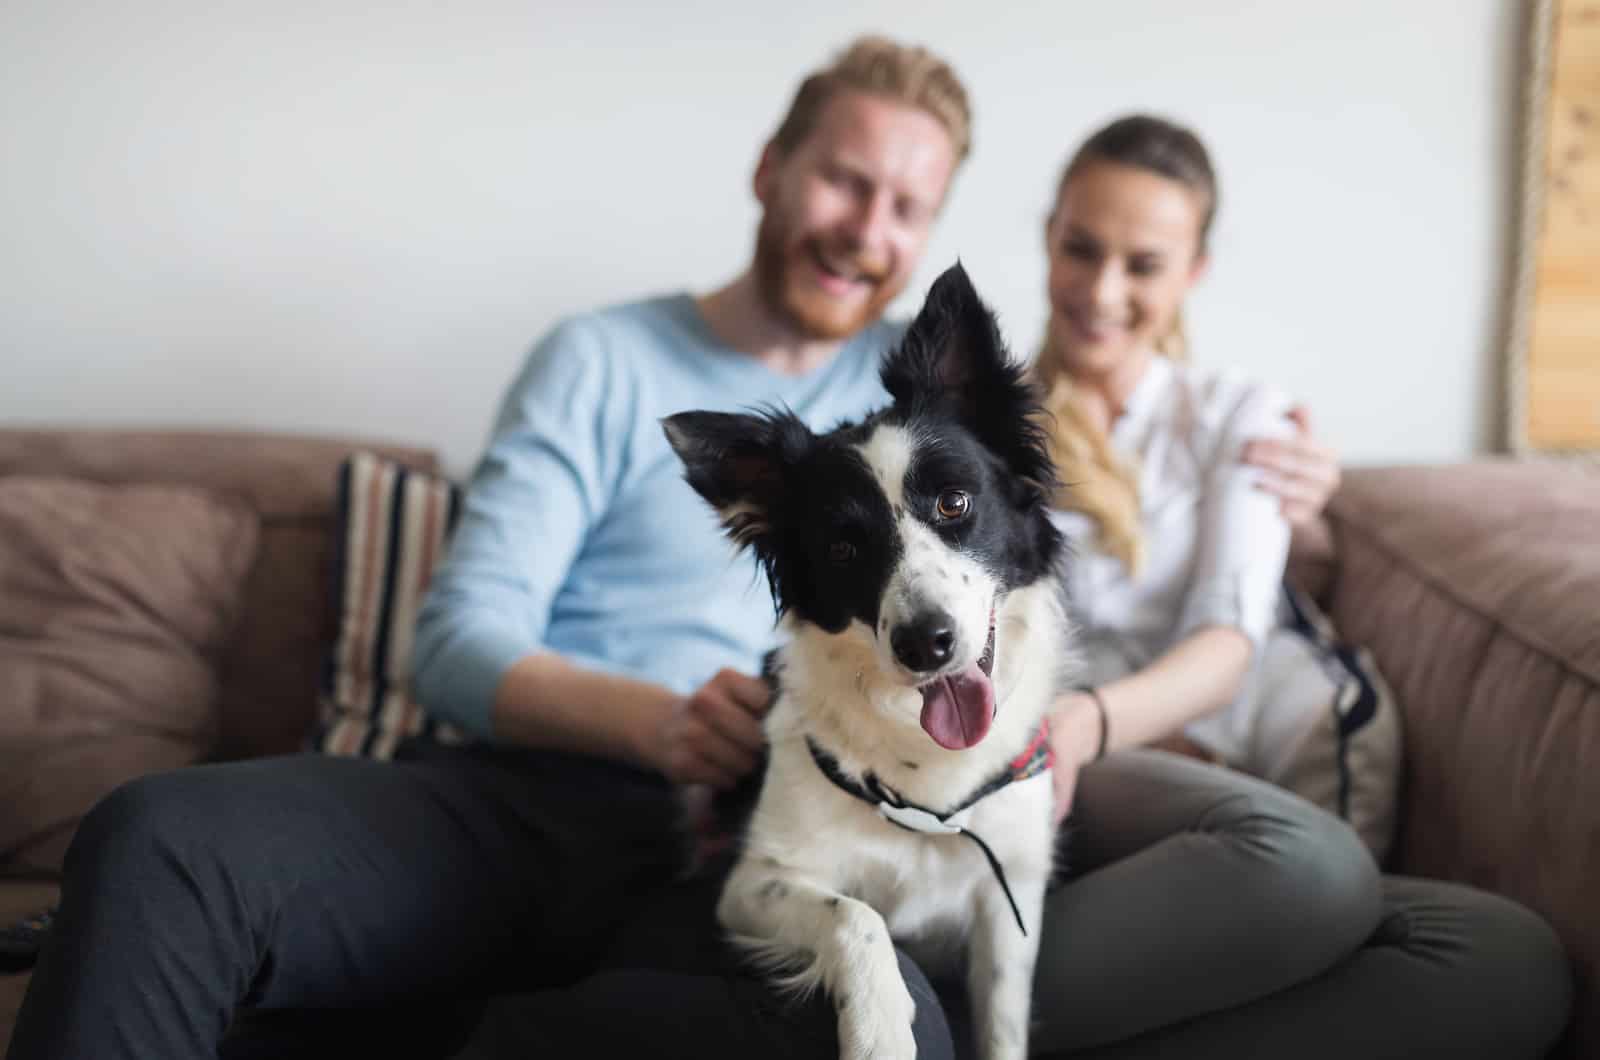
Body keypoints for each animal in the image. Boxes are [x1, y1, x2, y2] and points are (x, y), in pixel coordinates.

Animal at [662, 264, 1075, 1060]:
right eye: (844, 549)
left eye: (955, 502)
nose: (925, 642)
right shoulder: (752, 884)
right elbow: (858, 916)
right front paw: (880, 1028)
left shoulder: (1009, 901)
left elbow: (1004, 1022)